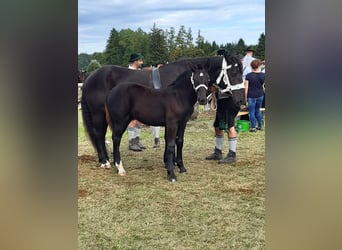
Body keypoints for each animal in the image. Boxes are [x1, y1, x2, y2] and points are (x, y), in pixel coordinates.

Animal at [81, 54, 244, 169]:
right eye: (233, 72)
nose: (241, 100)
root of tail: (89, 77)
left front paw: (170, 162)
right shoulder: (171, 119)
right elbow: (170, 139)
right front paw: (170, 162)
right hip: (99, 114)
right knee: (99, 134)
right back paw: (105, 161)